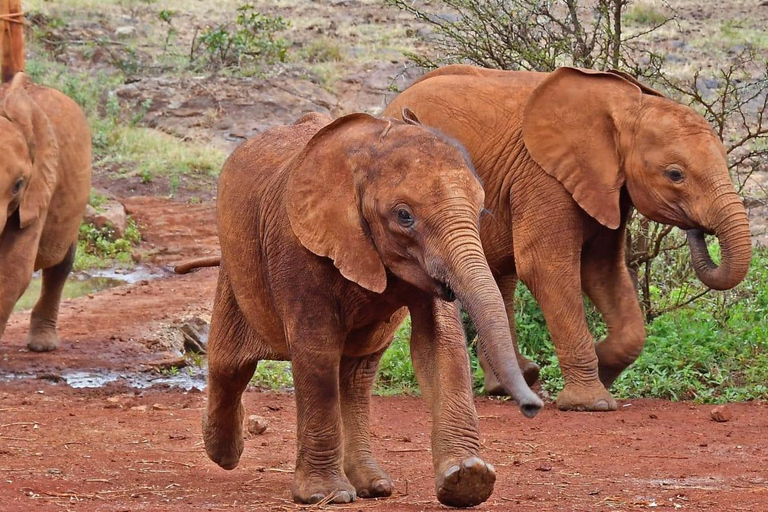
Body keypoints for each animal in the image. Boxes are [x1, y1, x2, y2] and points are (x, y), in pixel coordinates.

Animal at [201, 110, 544, 506]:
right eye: (404, 216)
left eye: (479, 209)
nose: (533, 407)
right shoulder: (297, 244)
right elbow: (317, 349)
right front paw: (325, 495)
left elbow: (440, 344)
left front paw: (468, 480)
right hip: (234, 270)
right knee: (229, 365)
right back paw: (224, 454)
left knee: (356, 375)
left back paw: (374, 486)